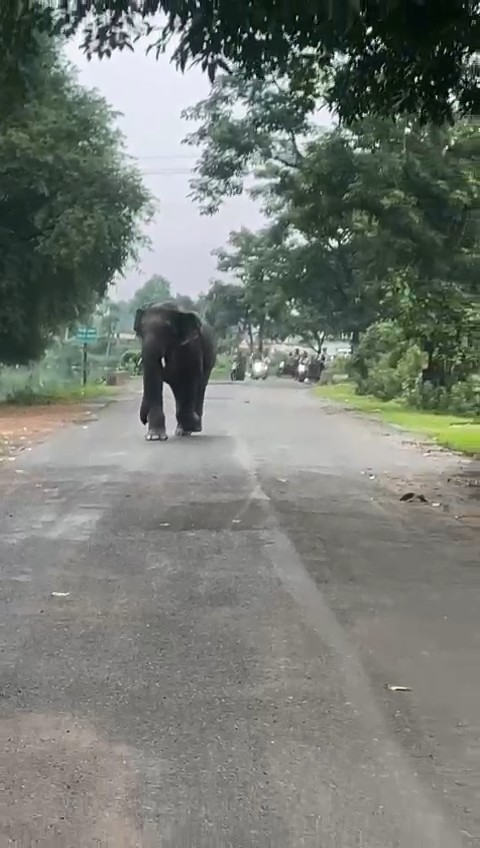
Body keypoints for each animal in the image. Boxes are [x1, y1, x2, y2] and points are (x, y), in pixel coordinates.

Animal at [132, 302, 217, 440]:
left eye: (167, 331)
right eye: (140, 332)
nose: (144, 419)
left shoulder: (192, 346)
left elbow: (191, 377)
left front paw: (193, 423)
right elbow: (155, 375)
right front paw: (154, 436)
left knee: (200, 385)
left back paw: (192, 426)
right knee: (178, 388)